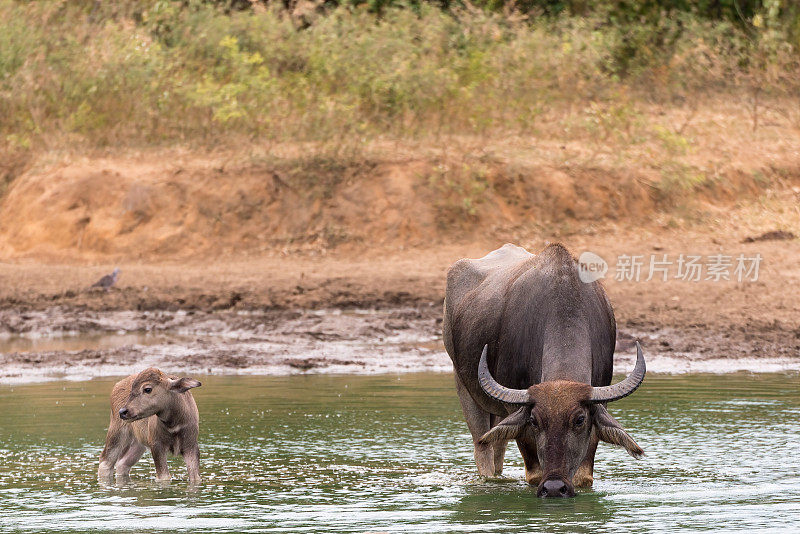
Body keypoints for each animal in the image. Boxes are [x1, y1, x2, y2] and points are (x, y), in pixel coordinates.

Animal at [444, 245, 644, 500]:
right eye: (534, 420)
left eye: (579, 420)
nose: (554, 488)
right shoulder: (518, 412)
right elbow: (534, 473)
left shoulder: (599, 406)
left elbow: (583, 476)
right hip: (464, 387)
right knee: (483, 450)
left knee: (498, 450)